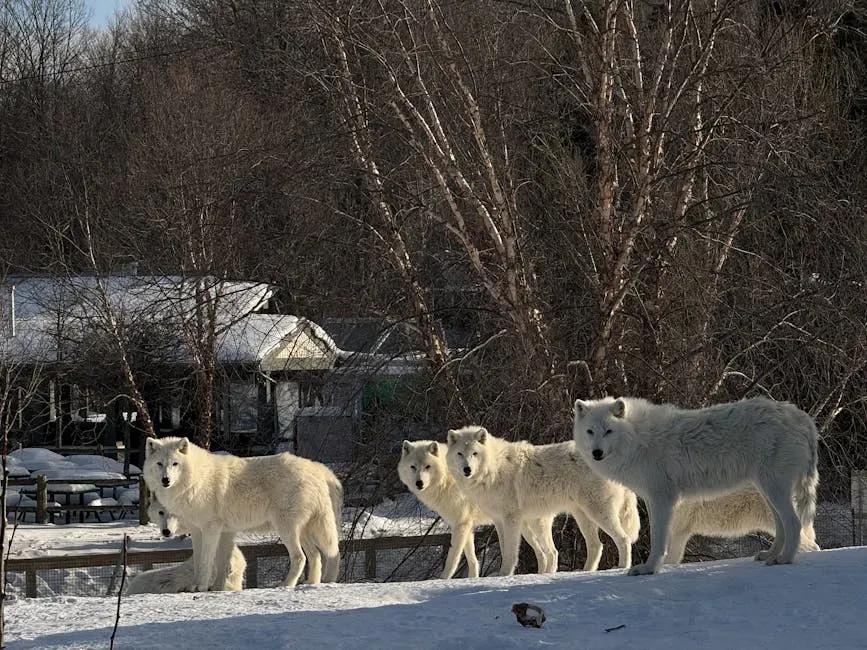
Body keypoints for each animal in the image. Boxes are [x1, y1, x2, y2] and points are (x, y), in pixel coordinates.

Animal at [144, 436, 343, 590]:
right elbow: (215, 563)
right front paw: (216, 588)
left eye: (175, 464)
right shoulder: (212, 531)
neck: (196, 480)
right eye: (159, 464)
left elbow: (206, 561)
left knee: (302, 557)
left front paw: (200, 587)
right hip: (305, 531)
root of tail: (317, 470)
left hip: (288, 529)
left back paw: (286, 585)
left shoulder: (210, 529)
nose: (165, 480)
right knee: (318, 555)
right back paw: (312, 583)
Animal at [398, 440, 558, 578]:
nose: (419, 483)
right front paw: (473, 578)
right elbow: (473, 560)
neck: (447, 479)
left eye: (427, 466)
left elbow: (452, 559)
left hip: (531, 525)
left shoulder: (461, 525)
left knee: (552, 552)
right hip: (523, 528)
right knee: (542, 554)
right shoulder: (467, 526)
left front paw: (442, 580)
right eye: (413, 467)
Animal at [445, 426, 640, 577]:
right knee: (596, 545)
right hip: (582, 517)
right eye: (460, 454)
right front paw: (502, 574)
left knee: (623, 539)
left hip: (599, 512)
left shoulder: (512, 518)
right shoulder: (499, 520)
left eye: (475, 453)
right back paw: (585, 571)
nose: (467, 470)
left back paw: (621, 567)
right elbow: (503, 547)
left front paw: (505, 574)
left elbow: (510, 551)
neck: (493, 468)